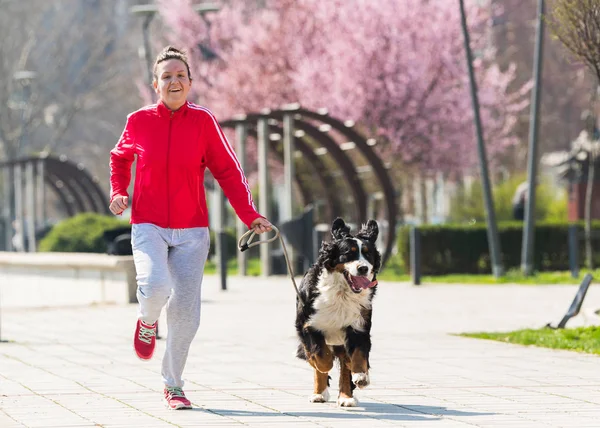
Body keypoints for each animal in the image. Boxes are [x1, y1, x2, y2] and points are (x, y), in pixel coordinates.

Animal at [294, 217, 380, 408]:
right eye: (348, 253)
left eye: (368, 254)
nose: (363, 268)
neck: (342, 293)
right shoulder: (309, 325)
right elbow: (321, 357)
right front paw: (323, 369)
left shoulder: (358, 327)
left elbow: (357, 356)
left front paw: (361, 376)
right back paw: (319, 394)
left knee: (346, 367)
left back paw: (346, 397)